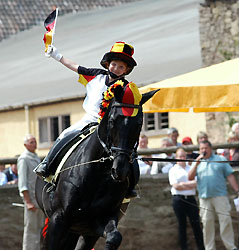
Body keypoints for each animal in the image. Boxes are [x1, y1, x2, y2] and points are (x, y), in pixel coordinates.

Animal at [35, 83, 158, 250]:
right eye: (112, 120)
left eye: (139, 123)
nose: (120, 169)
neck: (97, 172)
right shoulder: (58, 218)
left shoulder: (98, 222)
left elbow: (114, 237)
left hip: (79, 231)